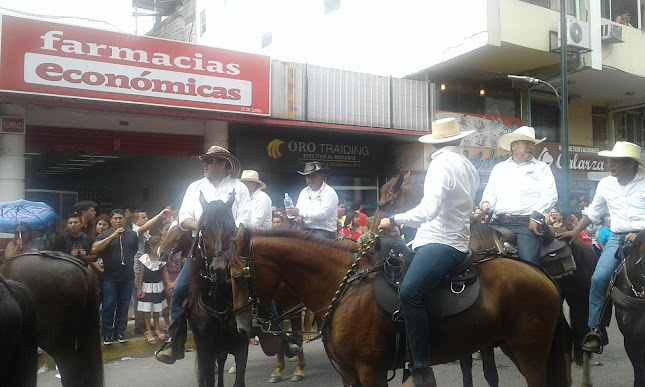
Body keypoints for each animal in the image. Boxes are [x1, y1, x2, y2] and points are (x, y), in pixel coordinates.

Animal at [225, 227, 568, 387]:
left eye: (239, 277)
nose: (242, 327)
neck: (346, 287)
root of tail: (540, 272)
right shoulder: (349, 374)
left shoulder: (370, 372)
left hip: (530, 353)